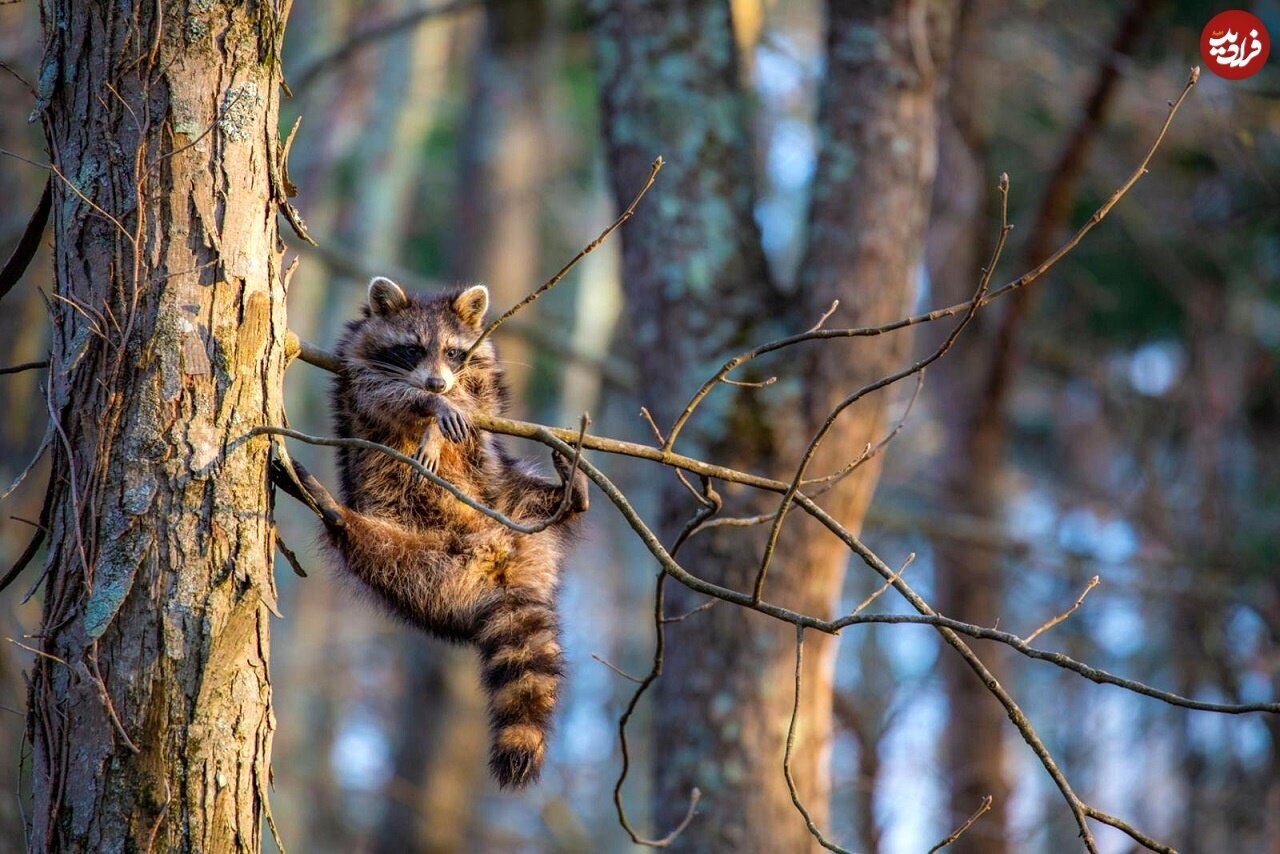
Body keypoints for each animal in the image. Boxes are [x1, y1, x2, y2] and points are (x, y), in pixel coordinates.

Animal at [275, 279, 588, 788]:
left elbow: (481, 402)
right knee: (373, 548)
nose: (437, 384)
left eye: (455, 353)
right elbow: (382, 393)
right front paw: (430, 407)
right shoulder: (356, 368)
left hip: (511, 498)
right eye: (412, 348)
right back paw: (333, 510)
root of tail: (506, 571)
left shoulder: (484, 371)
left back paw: (572, 495)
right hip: (420, 565)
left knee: (531, 490)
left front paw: (441, 420)